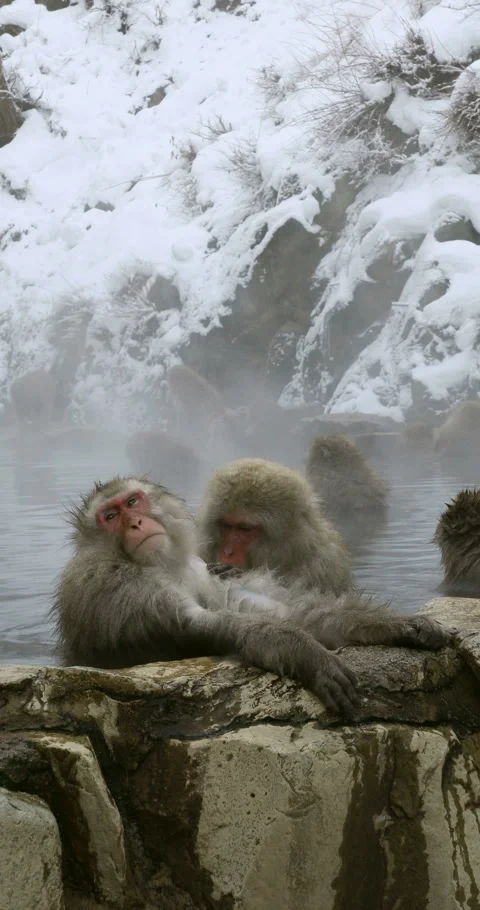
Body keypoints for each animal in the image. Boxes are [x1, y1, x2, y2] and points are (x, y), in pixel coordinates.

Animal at [52, 476, 449, 715]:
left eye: (133, 502)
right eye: (110, 516)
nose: (135, 523)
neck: (163, 565)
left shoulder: (202, 568)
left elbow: (287, 612)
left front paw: (397, 624)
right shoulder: (115, 585)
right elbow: (199, 625)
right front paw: (304, 653)